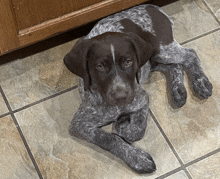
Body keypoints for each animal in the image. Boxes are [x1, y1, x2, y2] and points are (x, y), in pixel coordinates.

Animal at [63, 4, 213, 174]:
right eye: (100, 66)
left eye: (128, 62)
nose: (121, 96)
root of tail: (152, 7)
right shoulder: (79, 124)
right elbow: (108, 139)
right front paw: (136, 157)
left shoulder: (141, 99)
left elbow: (137, 131)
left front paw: (123, 128)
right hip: (154, 58)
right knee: (175, 66)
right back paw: (178, 91)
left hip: (162, 50)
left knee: (190, 54)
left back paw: (200, 82)